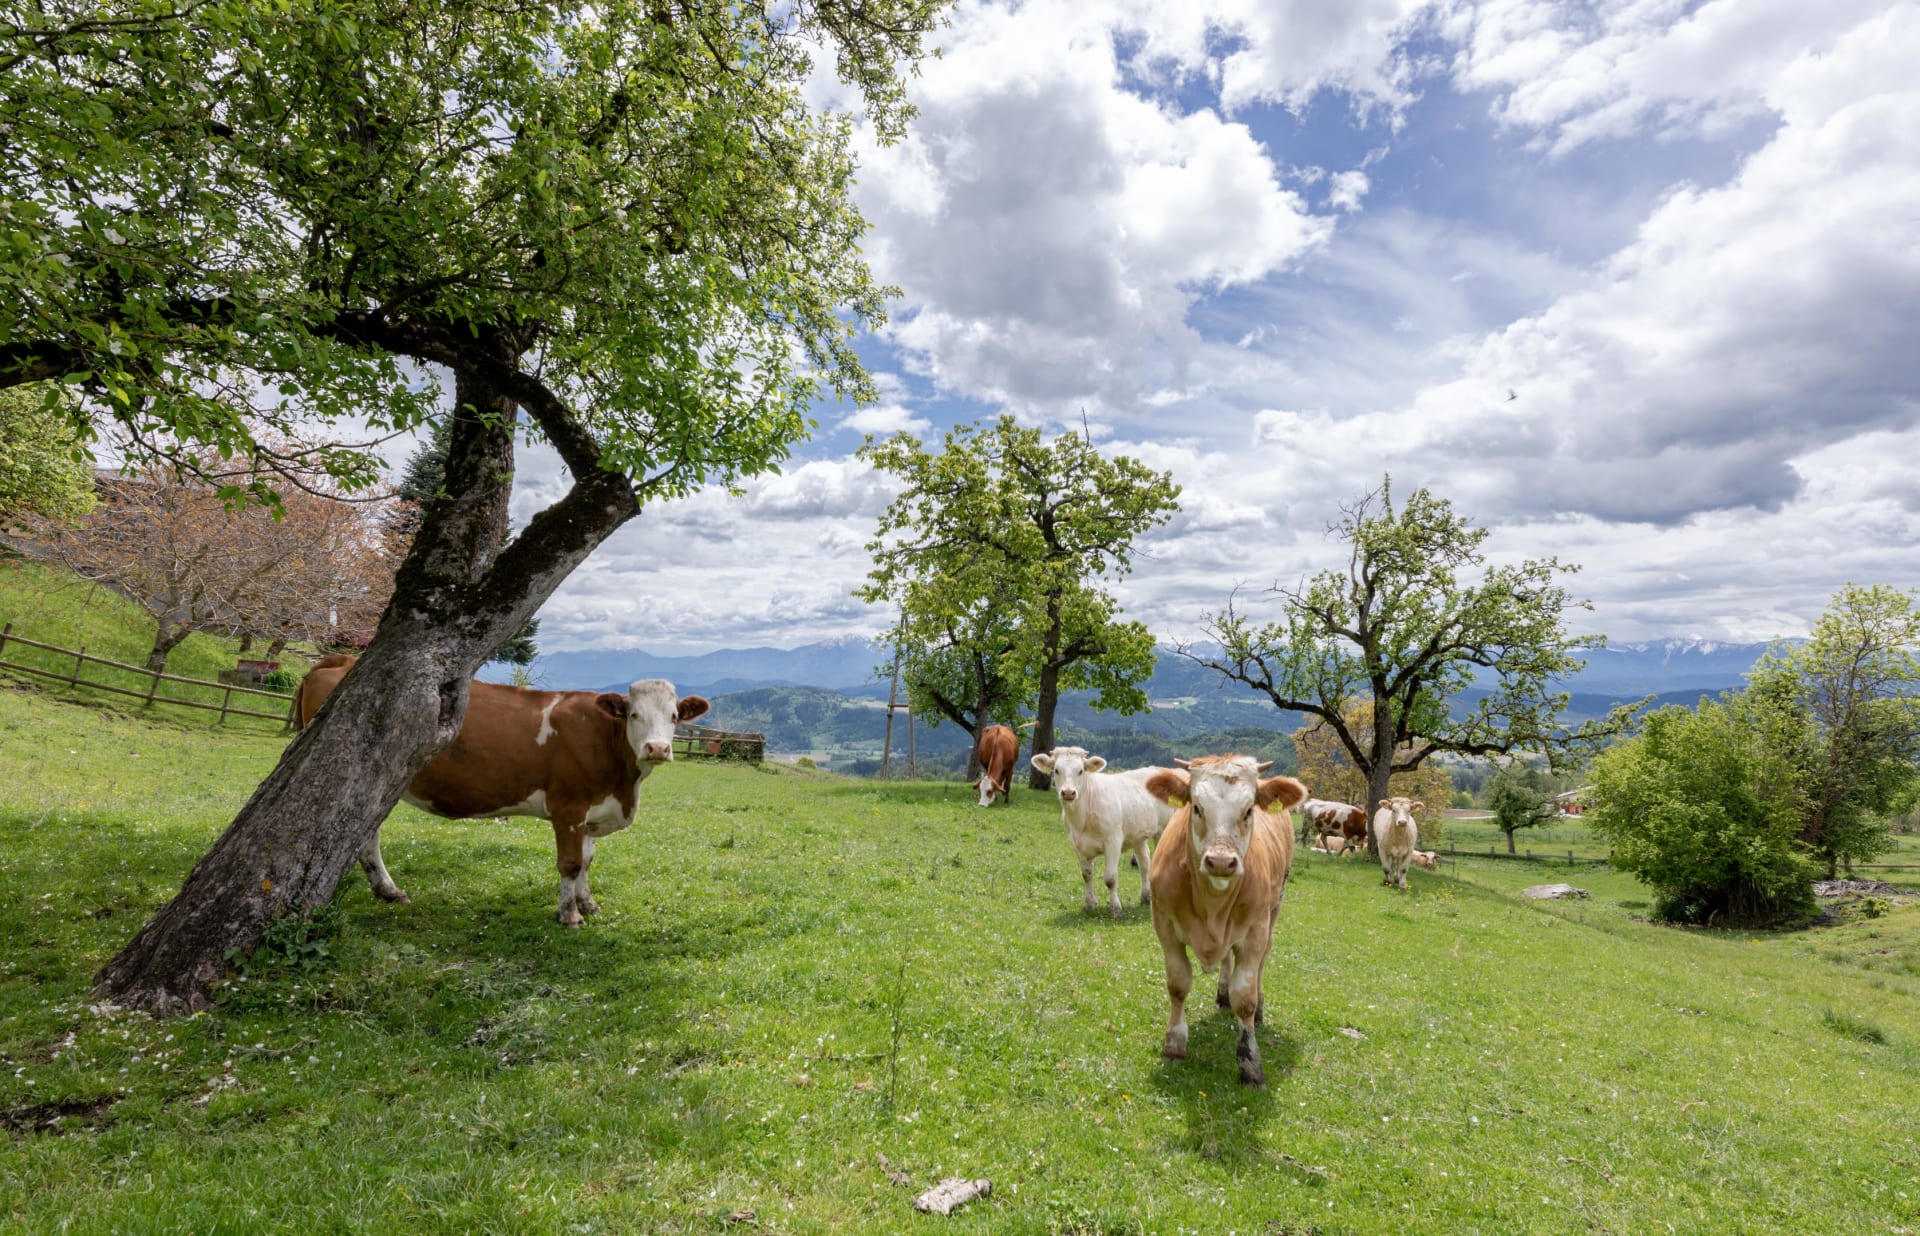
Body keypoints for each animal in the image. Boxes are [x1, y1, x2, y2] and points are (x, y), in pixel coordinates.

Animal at [294, 656, 709, 927]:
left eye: (674, 717)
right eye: (634, 714)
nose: (657, 748)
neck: (622, 784)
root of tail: (343, 660)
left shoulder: (593, 811)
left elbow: (587, 860)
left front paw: (588, 903)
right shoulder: (568, 807)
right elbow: (570, 863)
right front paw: (569, 914)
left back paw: (388, 891)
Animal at [1028, 747, 1175, 919]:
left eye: (1081, 770)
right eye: (1056, 770)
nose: (1068, 793)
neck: (1082, 818)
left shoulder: (1113, 841)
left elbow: (1110, 878)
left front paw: (1116, 909)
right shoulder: (1077, 844)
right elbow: (1086, 875)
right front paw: (1089, 904)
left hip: (1164, 828)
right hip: (1138, 834)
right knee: (1144, 862)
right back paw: (1146, 897)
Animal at [1142, 755, 1306, 1087]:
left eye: (1248, 810)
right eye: (1196, 807)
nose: (1220, 862)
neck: (1212, 907)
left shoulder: (1255, 929)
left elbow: (1244, 998)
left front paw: (1250, 1063)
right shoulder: (1164, 924)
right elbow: (1178, 984)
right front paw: (1174, 1043)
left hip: (1274, 911)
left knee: (1261, 963)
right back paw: (1221, 992)